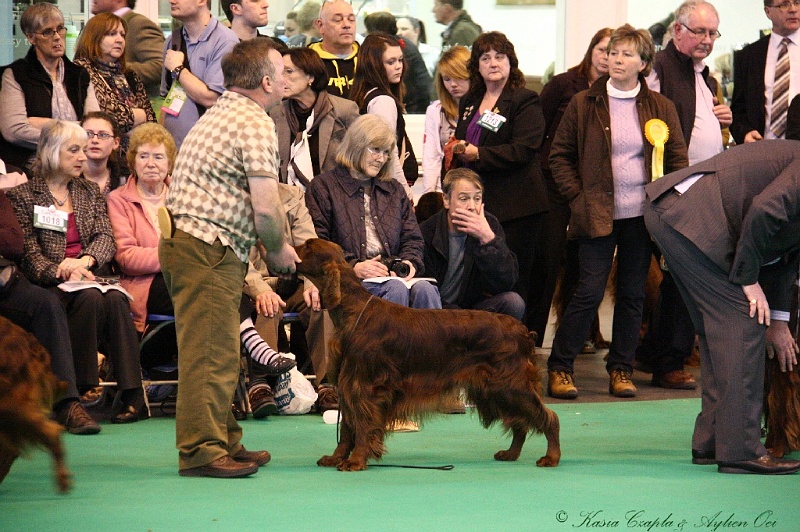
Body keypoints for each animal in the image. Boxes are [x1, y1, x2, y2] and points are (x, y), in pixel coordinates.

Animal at [296, 239, 564, 472]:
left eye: (307, 246)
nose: (290, 248)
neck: (352, 311)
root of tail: (523, 330)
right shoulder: (348, 386)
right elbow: (347, 430)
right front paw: (336, 457)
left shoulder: (364, 387)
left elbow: (362, 427)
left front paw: (356, 460)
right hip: (498, 390)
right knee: (520, 422)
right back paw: (511, 454)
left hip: (509, 386)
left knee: (549, 418)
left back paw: (551, 457)